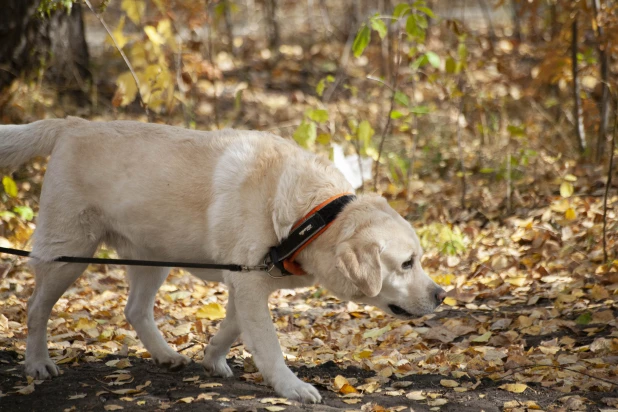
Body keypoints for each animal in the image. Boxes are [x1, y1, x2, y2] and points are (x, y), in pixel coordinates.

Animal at [0, 117, 442, 404]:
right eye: (407, 264)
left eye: (418, 259)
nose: (441, 295)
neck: (311, 217)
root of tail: (71, 124)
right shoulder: (248, 286)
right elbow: (269, 346)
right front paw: (292, 387)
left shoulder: (245, 285)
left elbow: (230, 329)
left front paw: (212, 358)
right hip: (67, 254)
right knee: (36, 307)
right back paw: (37, 363)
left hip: (155, 257)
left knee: (134, 310)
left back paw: (165, 355)